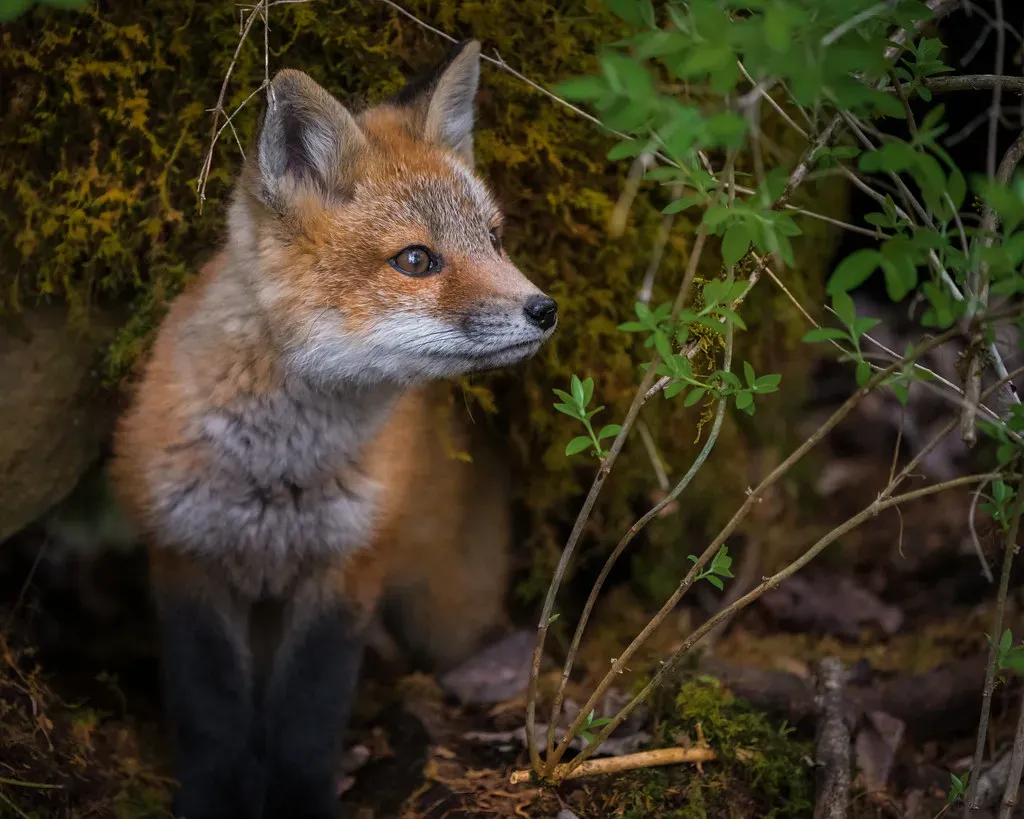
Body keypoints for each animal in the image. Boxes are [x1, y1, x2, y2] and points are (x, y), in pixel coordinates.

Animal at [109, 39, 557, 819]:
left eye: (494, 239)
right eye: (416, 260)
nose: (544, 308)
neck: (276, 473)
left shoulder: (348, 565)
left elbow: (307, 718)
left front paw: (299, 799)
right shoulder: (185, 557)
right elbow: (210, 714)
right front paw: (214, 797)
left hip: (444, 610)